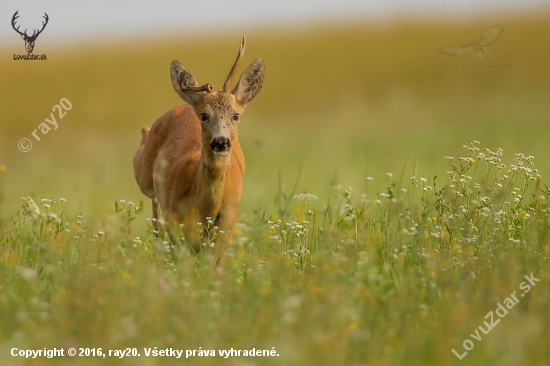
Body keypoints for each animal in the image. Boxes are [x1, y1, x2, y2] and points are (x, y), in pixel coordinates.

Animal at [132, 36, 266, 254]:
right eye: (203, 115)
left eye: (236, 115)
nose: (220, 142)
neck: (206, 210)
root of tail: (186, 105)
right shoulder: (174, 217)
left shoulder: (228, 222)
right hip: (145, 175)